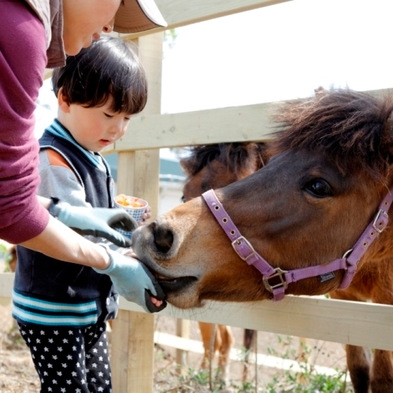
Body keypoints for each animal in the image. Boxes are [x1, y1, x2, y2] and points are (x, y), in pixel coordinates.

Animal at [132, 89, 393, 392]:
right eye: (184, 194)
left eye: (319, 186)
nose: (156, 236)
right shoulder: (346, 297)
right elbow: (359, 371)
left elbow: (381, 377)